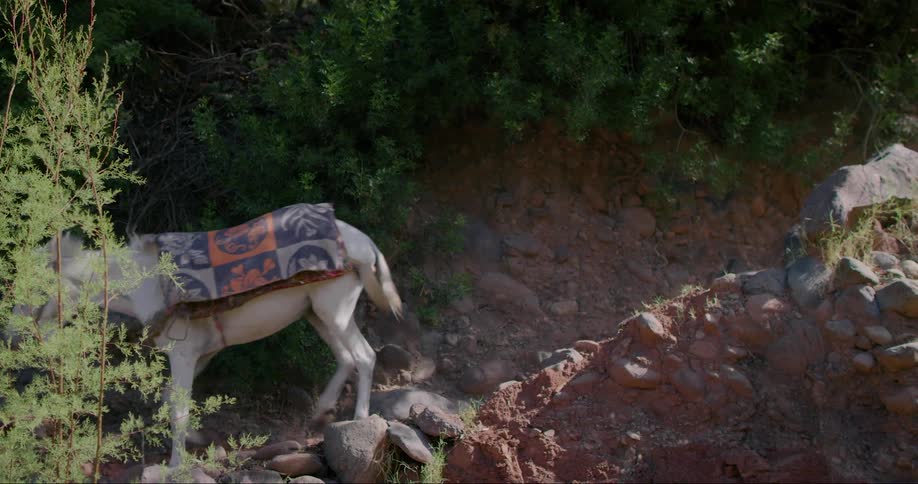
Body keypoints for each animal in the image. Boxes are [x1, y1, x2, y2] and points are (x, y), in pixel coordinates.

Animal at [25, 219, 403, 467]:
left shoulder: (183, 353)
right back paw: (322, 412)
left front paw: (176, 464)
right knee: (346, 357)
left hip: (334, 310)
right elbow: (170, 398)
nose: (24, 338)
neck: (146, 284)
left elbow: (177, 408)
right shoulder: (201, 352)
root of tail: (364, 242)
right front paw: (196, 440)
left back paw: (359, 420)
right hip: (318, 314)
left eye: (39, 288)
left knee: (364, 356)